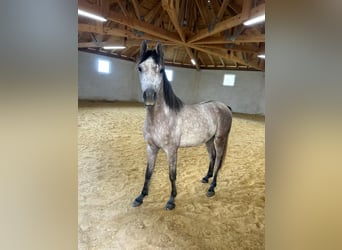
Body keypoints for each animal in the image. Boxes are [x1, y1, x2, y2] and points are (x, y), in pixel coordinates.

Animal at [132, 40, 232, 209]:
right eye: (140, 68)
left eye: (161, 70)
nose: (150, 97)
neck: (162, 117)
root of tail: (224, 106)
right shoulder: (151, 147)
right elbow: (148, 172)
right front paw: (141, 197)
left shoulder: (171, 150)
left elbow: (172, 175)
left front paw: (171, 200)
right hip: (209, 140)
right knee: (212, 157)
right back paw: (206, 178)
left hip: (220, 139)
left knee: (218, 159)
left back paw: (212, 188)